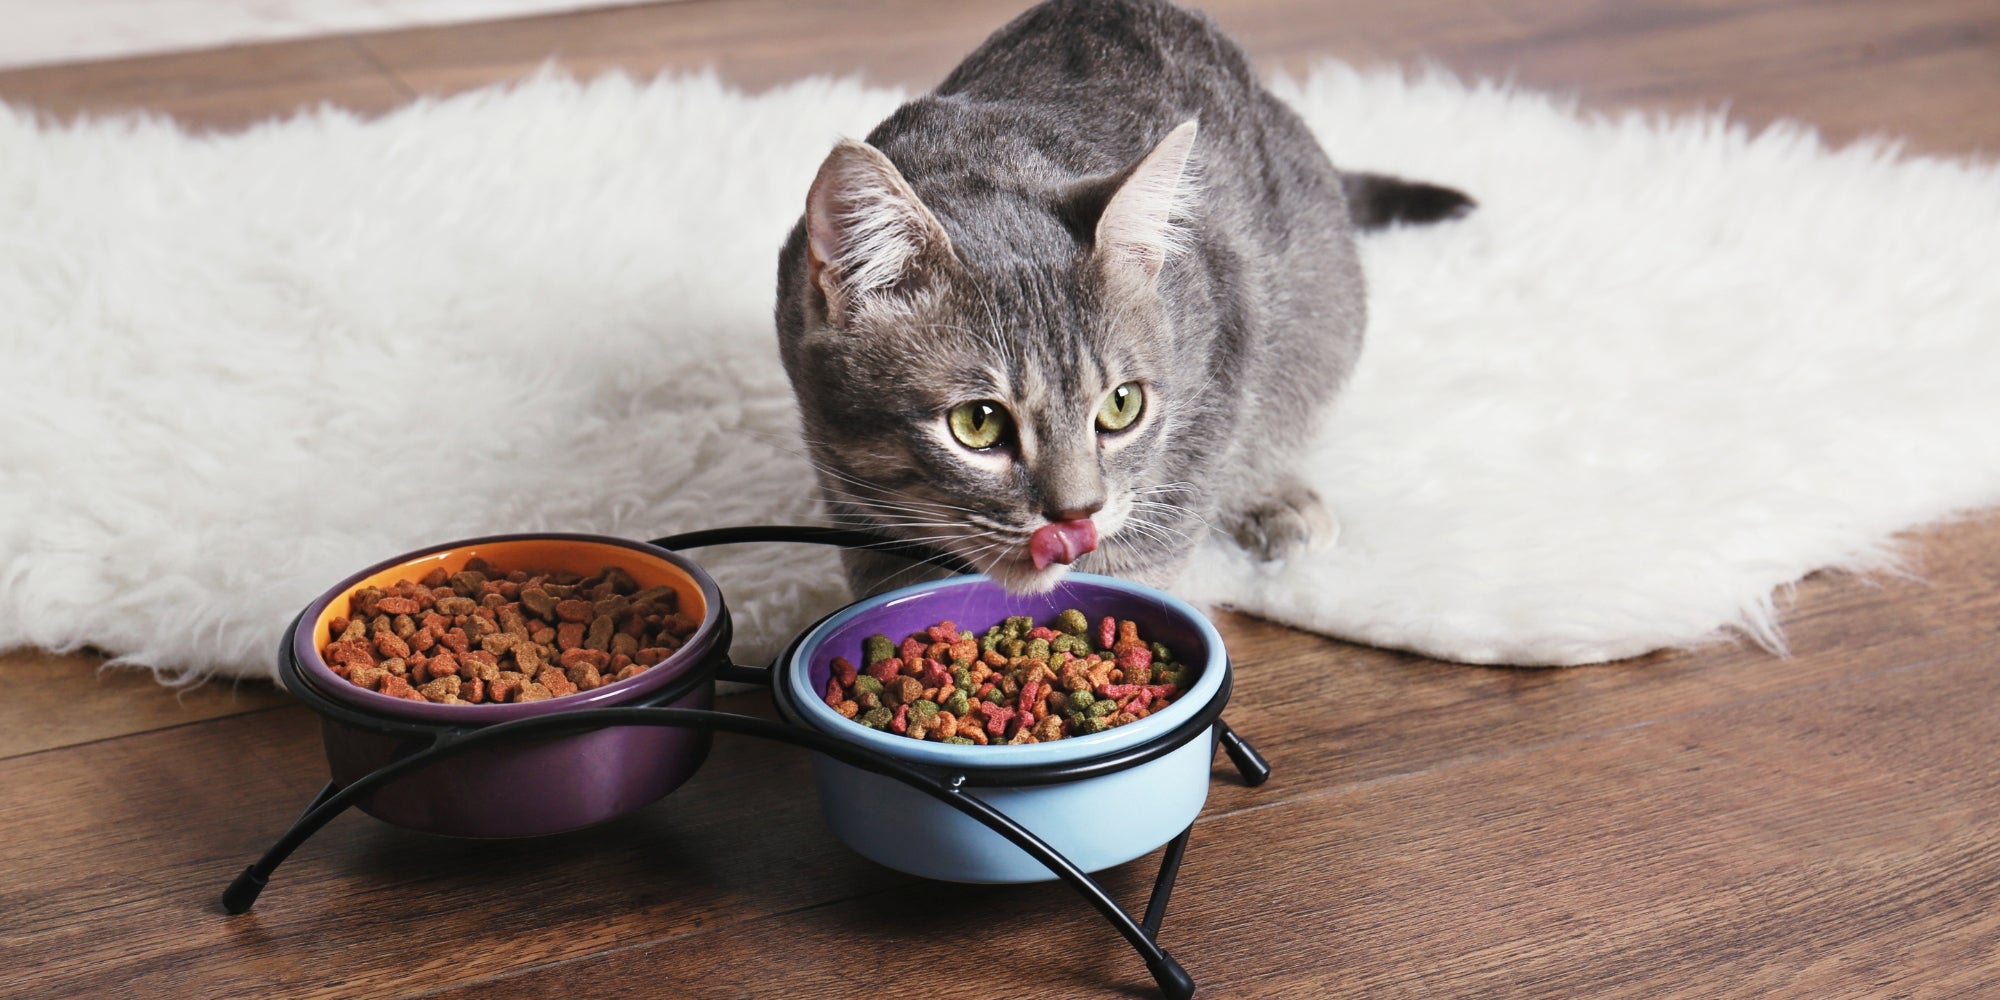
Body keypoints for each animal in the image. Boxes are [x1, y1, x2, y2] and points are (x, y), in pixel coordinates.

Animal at [776, 0, 1472, 592]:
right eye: (978, 422)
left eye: (1121, 406)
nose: (1077, 512)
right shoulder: (842, 474)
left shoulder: (1216, 375)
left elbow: (1145, 554)